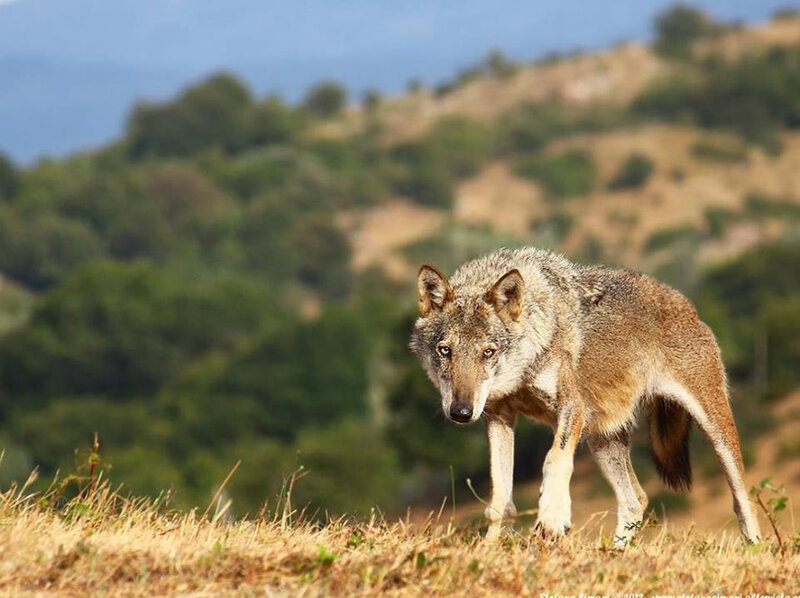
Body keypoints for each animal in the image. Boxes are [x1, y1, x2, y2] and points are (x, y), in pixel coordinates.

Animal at [410, 247, 761, 545]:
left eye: (488, 352)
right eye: (445, 351)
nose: (461, 412)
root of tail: (687, 305)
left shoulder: (571, 408)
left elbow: (554, 459)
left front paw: (552, 518)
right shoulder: (498, 416)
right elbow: (500, 498)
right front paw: (490, 547)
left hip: (715, 430)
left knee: (743, 500)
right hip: (601, 439)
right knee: (636, 500)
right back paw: (615, 554)